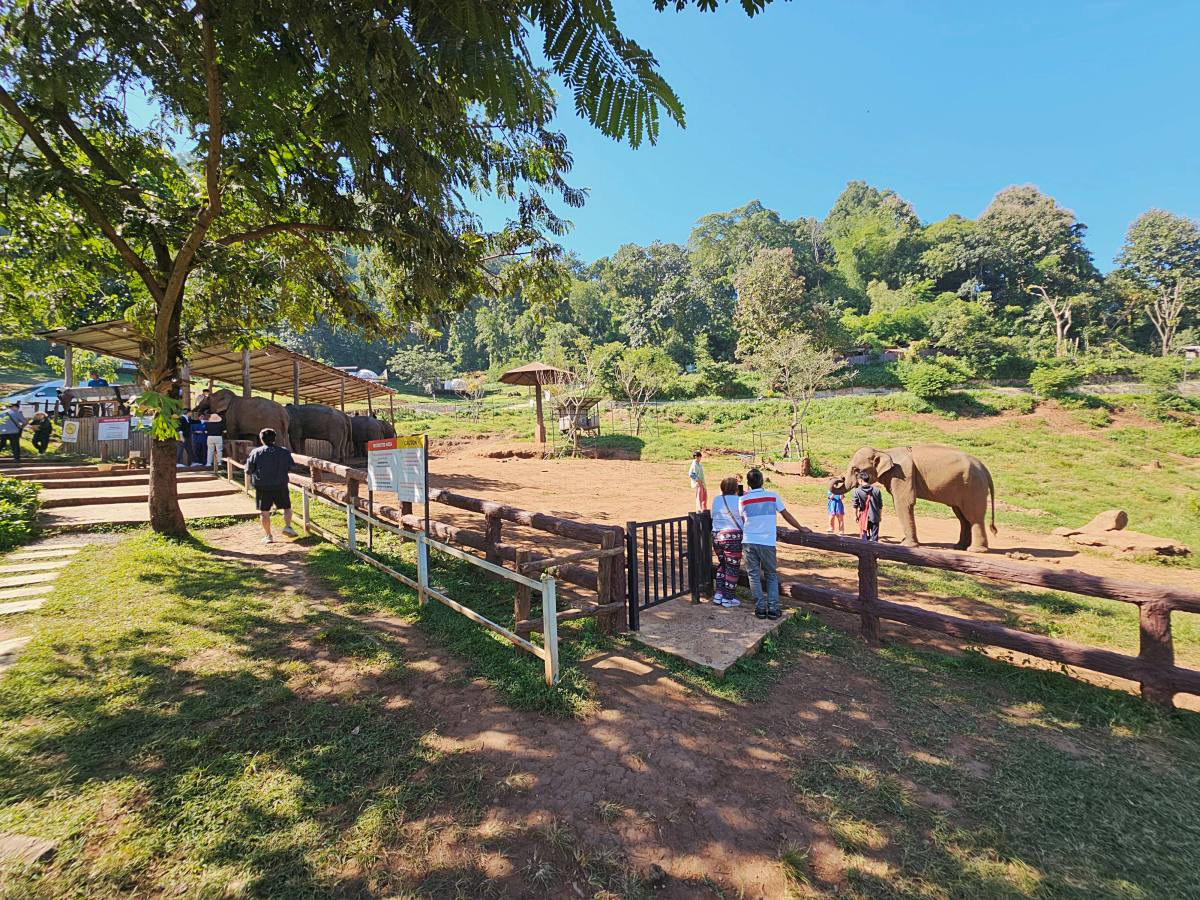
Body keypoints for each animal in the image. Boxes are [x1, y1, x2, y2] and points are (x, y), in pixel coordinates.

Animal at [834, 444, 997, 551]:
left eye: (856, 470)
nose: (839, 478)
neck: (884, 452)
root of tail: (985, 469)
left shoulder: (903, 474)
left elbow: (903, 503)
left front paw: (907, 545)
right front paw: (905, 542)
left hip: (973, 487)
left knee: (973, 516)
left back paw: (975, 550)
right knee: (962, 516)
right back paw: (959, 547)